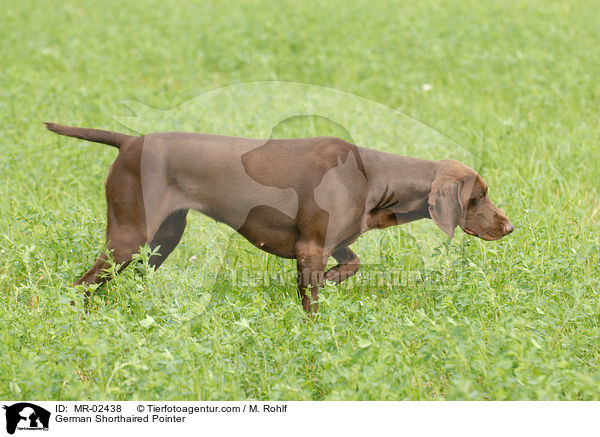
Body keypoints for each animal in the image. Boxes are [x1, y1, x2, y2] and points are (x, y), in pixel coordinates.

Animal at [48, 122, 516, 312]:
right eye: (479, 197)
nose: (510, 227)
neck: (373, 178)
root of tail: (129, 142)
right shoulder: (310, 250)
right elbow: (312, 306)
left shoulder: (331, 244)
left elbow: (352, 264)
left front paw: (335, 280)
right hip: (129, 236)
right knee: (79, 286)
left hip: (163, 238)